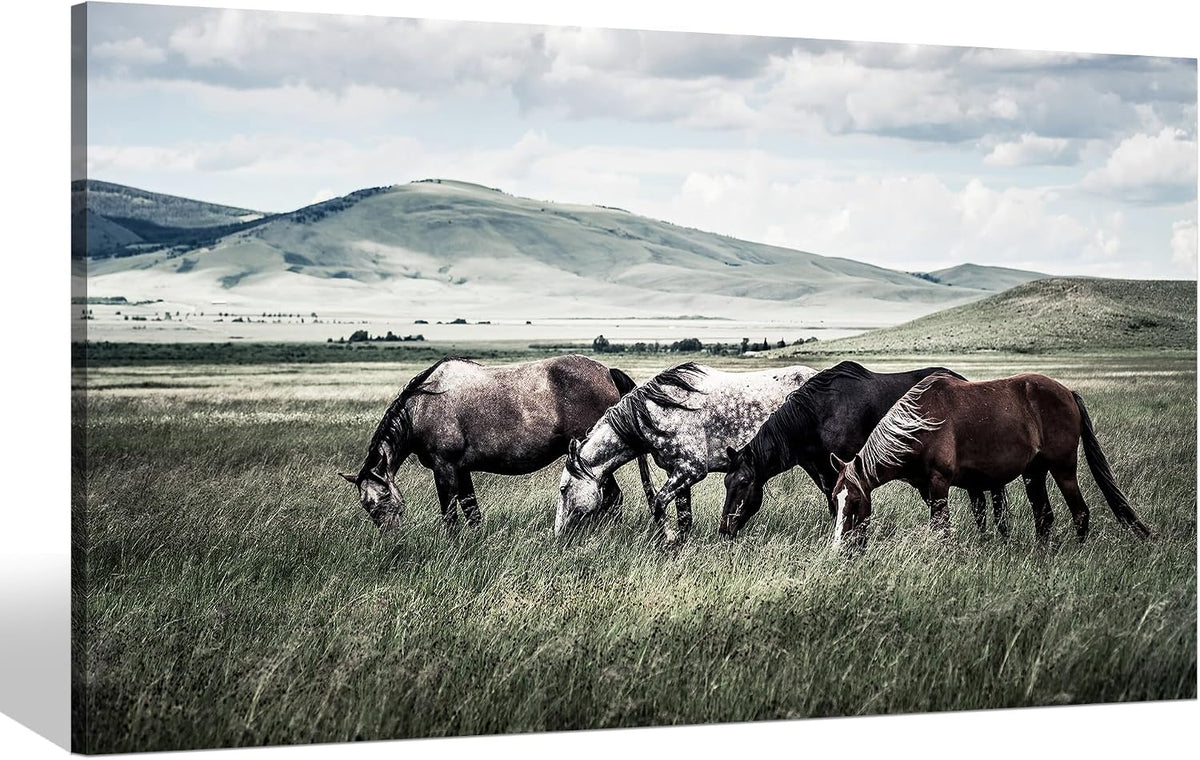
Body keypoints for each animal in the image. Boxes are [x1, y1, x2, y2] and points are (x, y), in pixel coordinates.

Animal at [340, 355, 654, 532]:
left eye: (381, 500)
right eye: (367, 507)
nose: (392, 539)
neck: (422, 406)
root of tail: (606, 371)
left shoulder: (444, 469)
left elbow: (450, 514)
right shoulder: (461, 469)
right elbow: (471, 510)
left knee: (613, 499)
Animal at [555, 361, 817, 543]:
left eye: (563, 489)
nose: (557, 533)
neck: (659, 412)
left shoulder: (691, 470)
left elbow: (658, 503)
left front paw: (669, 539)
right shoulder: (679, 473)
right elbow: (685, 518)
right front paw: (679, 543)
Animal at [828, 372, 1154, 549]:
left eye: (854, 501)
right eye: (835, 500)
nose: (840, 549)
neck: (919, 424)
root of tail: (1067, 393)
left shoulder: (939, 484)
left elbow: (942, 529)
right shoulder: (931, 488)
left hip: (1063, 469)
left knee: (1080, 512)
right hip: (1034, 473)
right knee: (1044, 517)